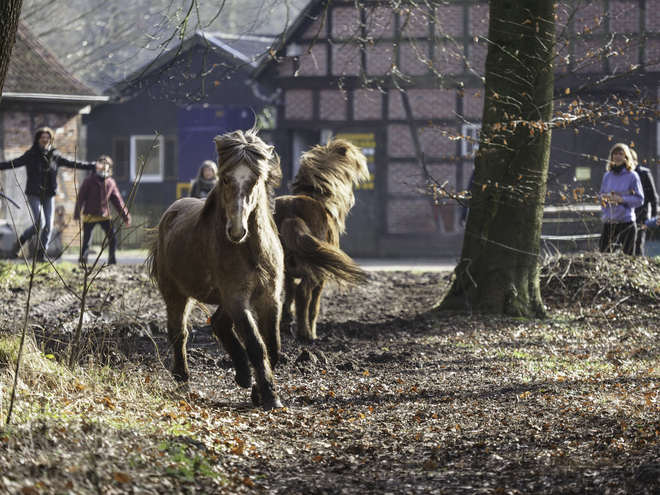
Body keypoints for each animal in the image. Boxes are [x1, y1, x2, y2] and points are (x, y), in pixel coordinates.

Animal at [147, 128, 284, 410]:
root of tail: (170, 213)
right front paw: (269, 395)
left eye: (255, 179)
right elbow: (256, 344)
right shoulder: (237, 298)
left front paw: (258, 390)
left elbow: (272, 347)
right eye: (226, 179)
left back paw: (243, 374)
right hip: (177, 294)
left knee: (219, 323)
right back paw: (183, 380)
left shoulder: (270, 298)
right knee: (179, 333)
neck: (250, 250)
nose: (237, 230)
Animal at [274, 138, 372, 342]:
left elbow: (289, 292)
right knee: (303, 294)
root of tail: (291, 214)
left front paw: (287, 317)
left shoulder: (289, 274)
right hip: (316, 272)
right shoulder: (322, 278)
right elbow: (314, 307)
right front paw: (311, 330)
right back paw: (305, 334)